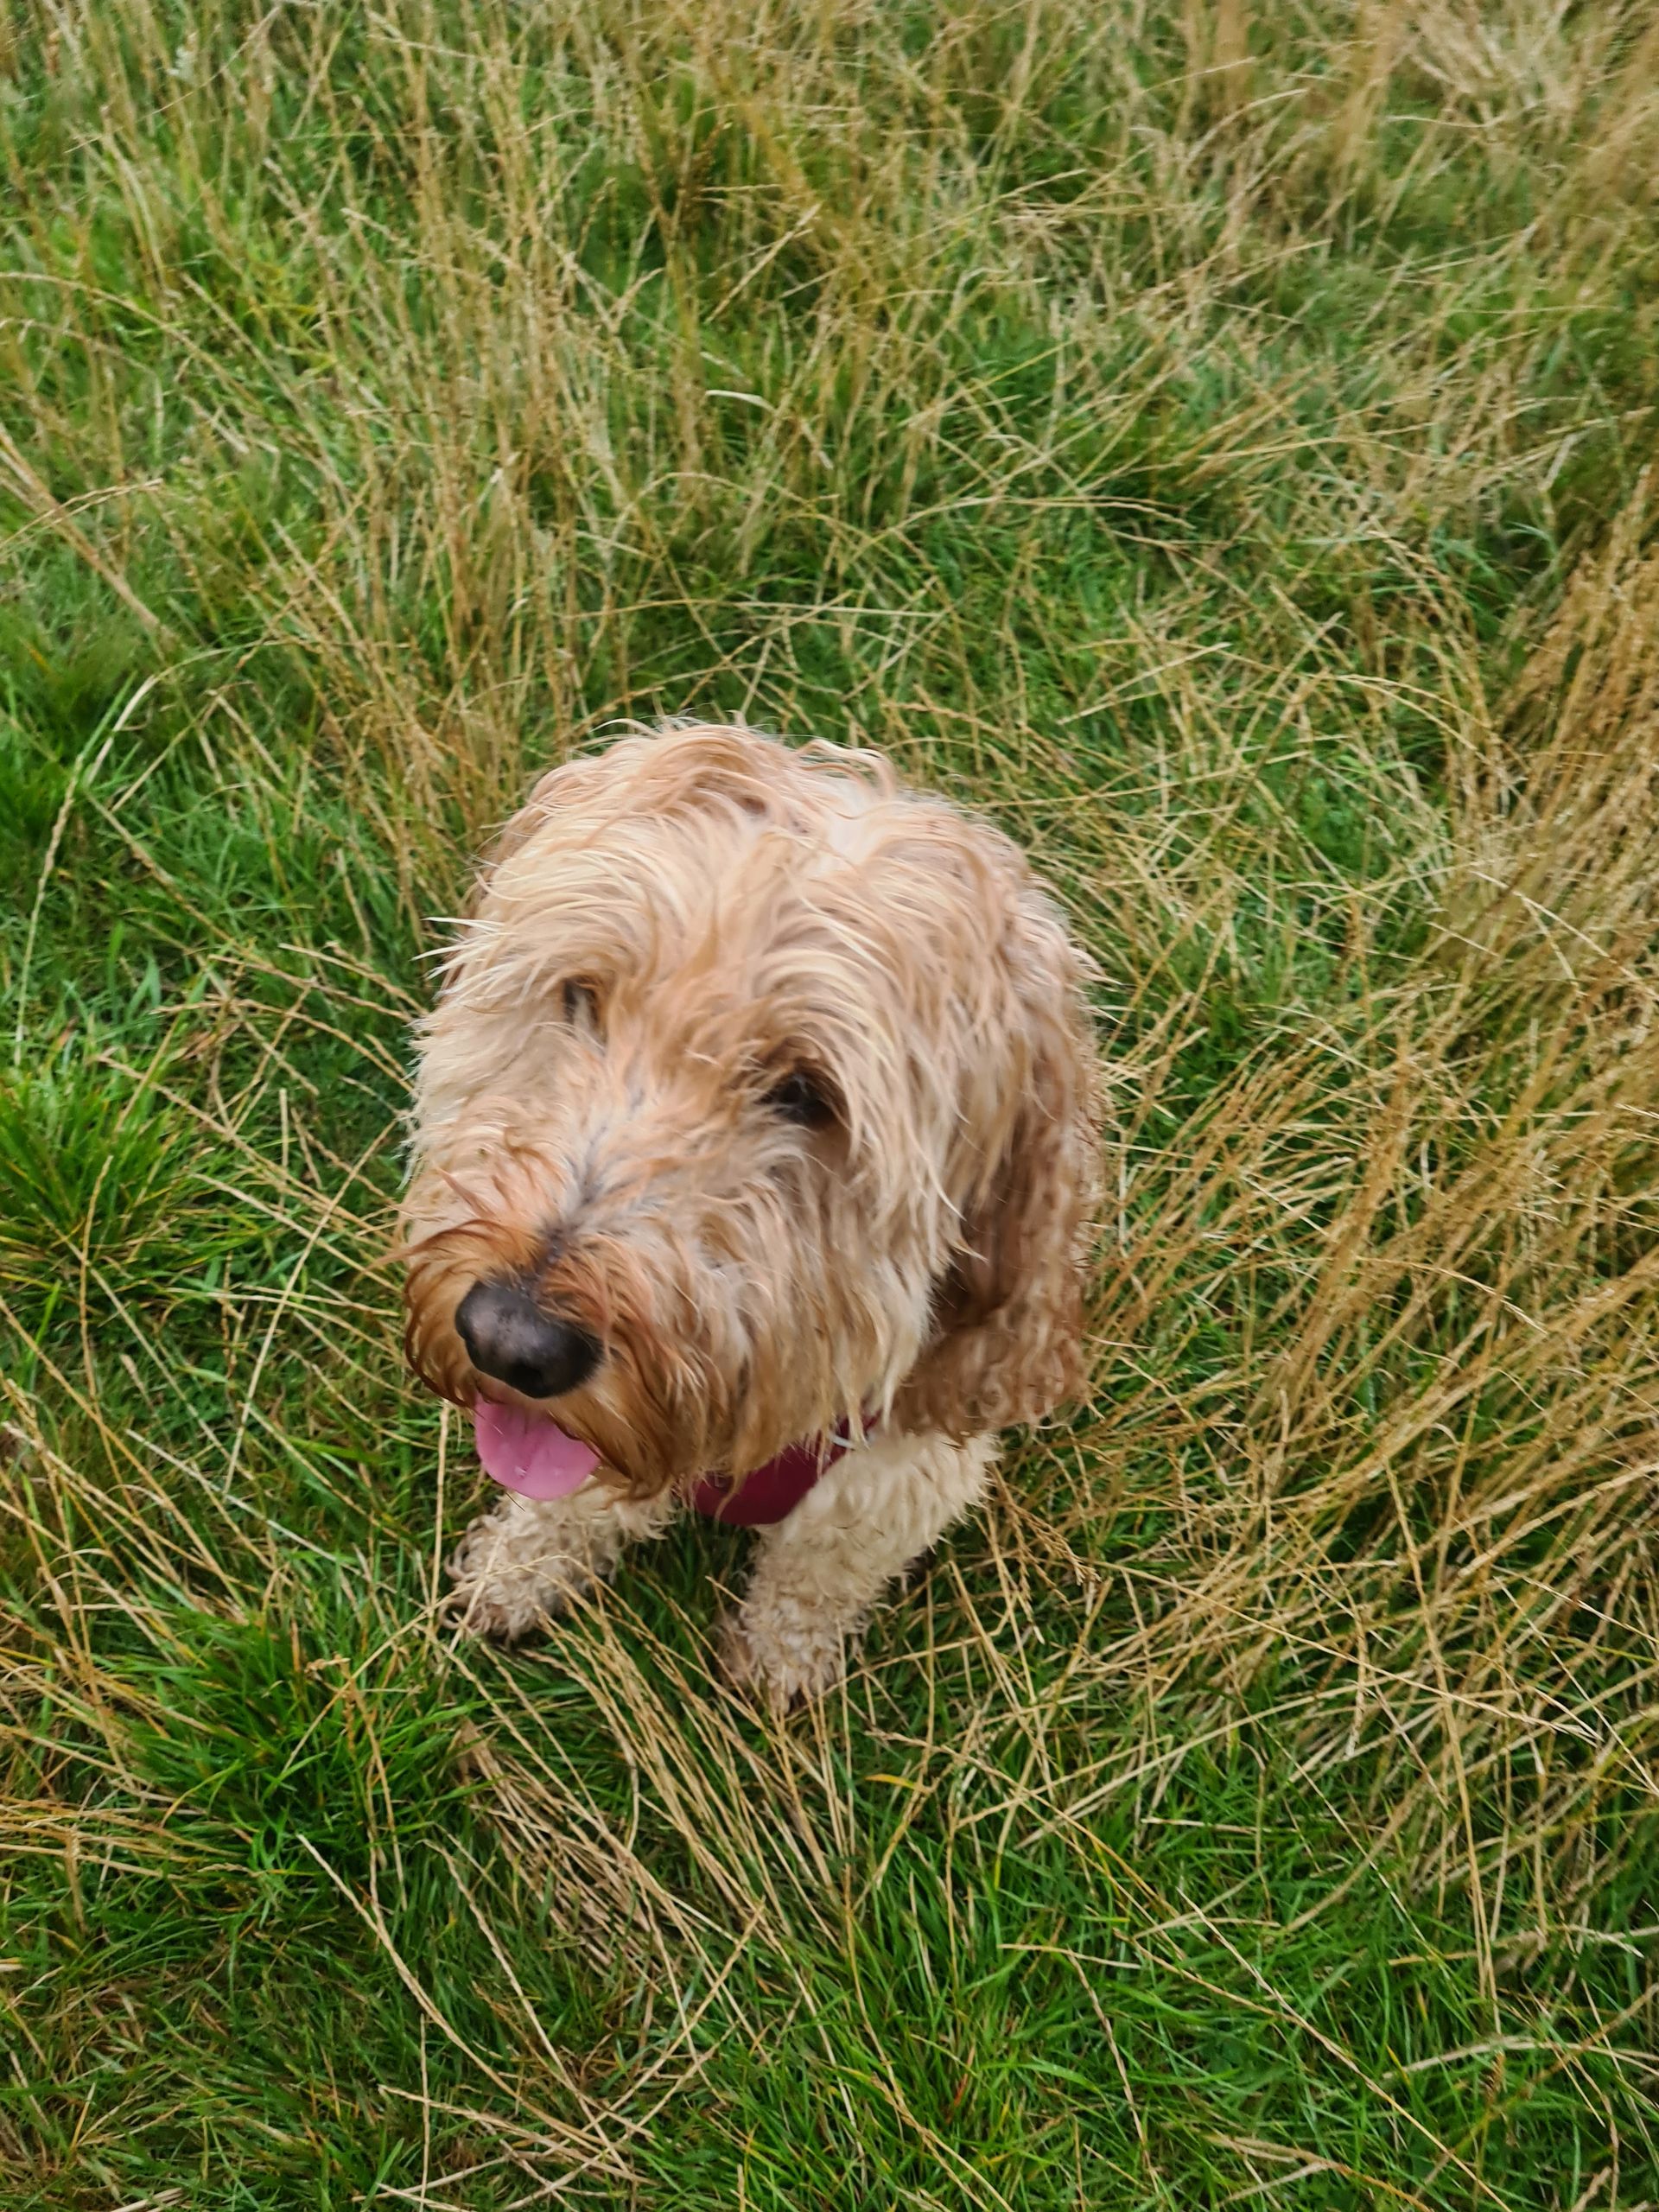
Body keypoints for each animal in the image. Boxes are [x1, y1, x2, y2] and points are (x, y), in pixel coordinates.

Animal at [400, 723, 1098, 1708]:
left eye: (807, 1093)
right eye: (581, 996)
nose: (509, 1341)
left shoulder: (901, 1478)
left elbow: (817, 1573)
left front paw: (782, 1658)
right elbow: (564, 1506)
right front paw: (516, 1570)